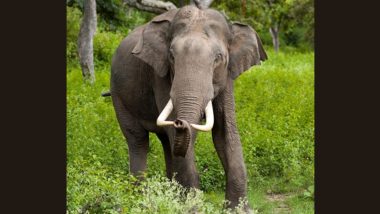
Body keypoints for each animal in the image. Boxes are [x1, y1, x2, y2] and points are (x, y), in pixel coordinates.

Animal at [107, 5, 268, 211]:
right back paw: (139, 201)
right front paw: (191, 209)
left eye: (218, 58)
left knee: (166, 142)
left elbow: (225, 132)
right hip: (118, 95)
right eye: (171, 56)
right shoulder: (160, 74)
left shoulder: (227, 76)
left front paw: (238, 210)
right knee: (138, 140)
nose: (180, 122)